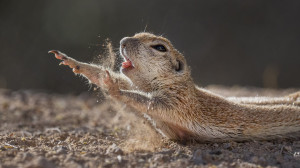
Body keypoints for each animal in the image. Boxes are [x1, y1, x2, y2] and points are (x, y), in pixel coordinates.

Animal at [49, 32, 300, 142]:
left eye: (159, 47)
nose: (122, 41)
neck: (177, 83)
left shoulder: (179, 103)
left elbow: (149, 103)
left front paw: (114, 89)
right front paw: (75, 63)